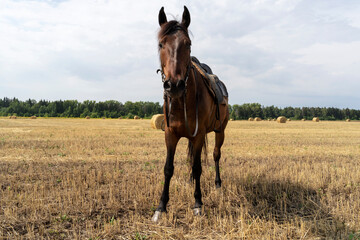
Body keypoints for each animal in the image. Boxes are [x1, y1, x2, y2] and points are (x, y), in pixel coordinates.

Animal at [151, 6, 229, 223]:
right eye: (161, 43)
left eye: (188, 44)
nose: (174, 85)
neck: (181, 101)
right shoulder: (170, 134)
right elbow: (168, 168)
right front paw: (161, 207)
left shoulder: (199, 134)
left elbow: (198, 166)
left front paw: (198, 204)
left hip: (220, 131)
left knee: (216, 155)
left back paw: (218, 184)